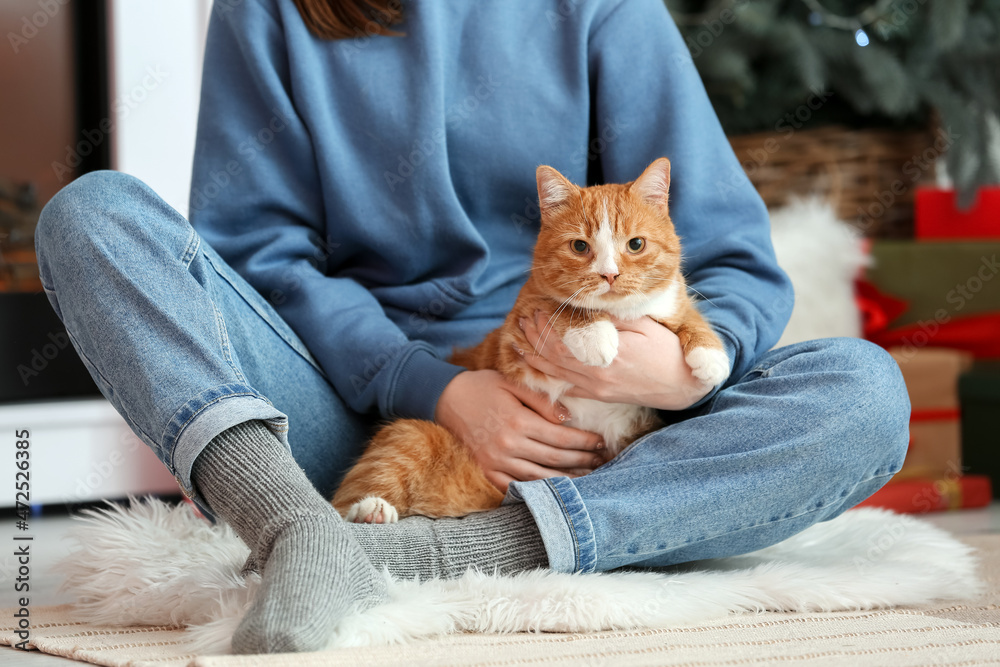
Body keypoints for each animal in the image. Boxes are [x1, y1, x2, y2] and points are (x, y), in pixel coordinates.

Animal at [332, 159, 732, 524]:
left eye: (635, 244)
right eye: (579, 246)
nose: (609, 274)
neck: (619, 314)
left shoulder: (669, 303)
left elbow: (686, 312)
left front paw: (710, 355)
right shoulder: (516, 333)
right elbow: (560, 304)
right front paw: (594, 334)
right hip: (411, 437)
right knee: (347, 501)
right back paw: (370, 511)